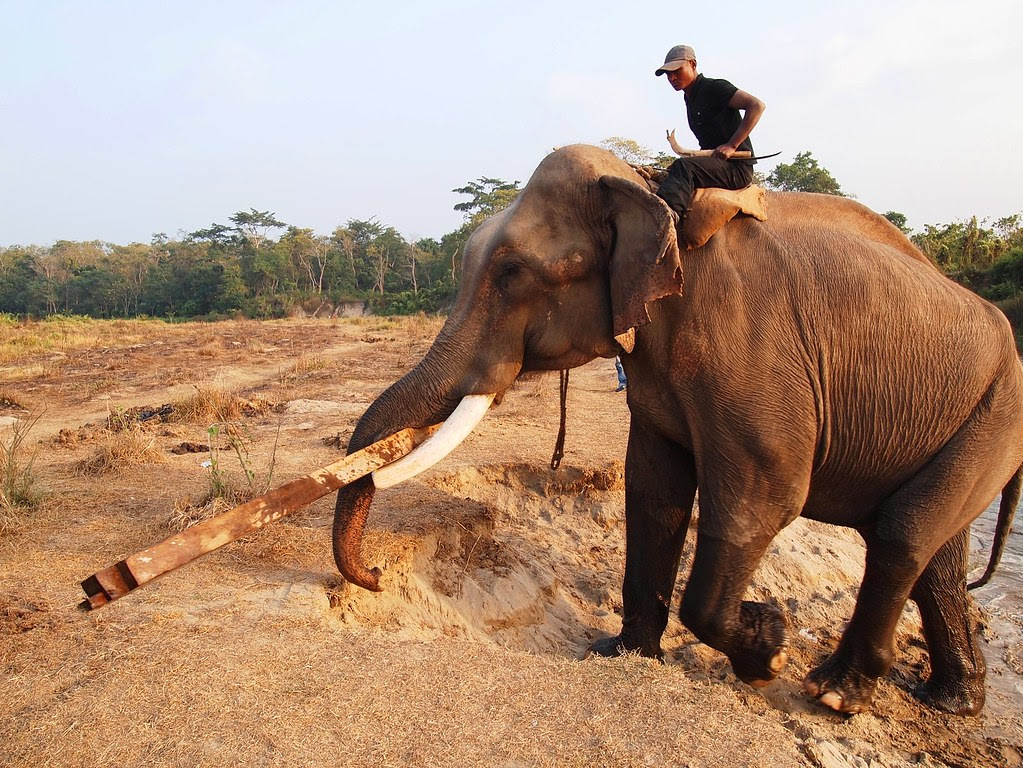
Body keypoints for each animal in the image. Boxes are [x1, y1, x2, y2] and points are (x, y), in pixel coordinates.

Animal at [333, 145, 1023, 719]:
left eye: (513, 274)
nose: (377, 576)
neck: (645, 190)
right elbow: (654, 491)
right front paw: (623, 654)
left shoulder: (751, 349)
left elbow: (765, 498)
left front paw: (768, 650)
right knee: (928, 548)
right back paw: (951, 700)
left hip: (998, 413)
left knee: (902, 536)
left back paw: (835, 694)